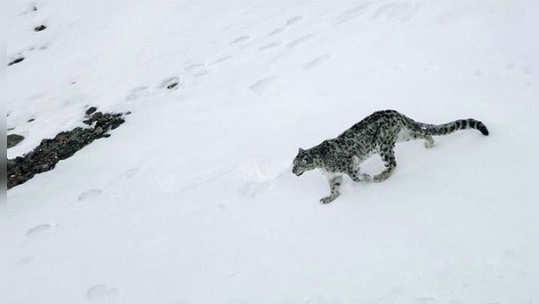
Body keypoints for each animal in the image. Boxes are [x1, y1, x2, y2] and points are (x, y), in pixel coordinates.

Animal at [294, 109, 492, 204]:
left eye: (296, 164)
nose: (292, 171)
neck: (321, 166)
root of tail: (395, 112)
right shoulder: (334, 176)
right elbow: (334, 188)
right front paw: (328, 199)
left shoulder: (349, 165)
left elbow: (357, 177)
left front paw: (368, 178)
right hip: (403, 135)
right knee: (422, 131)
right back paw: (430, 143)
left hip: (384, 145)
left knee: (393, 164)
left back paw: (380, 176)